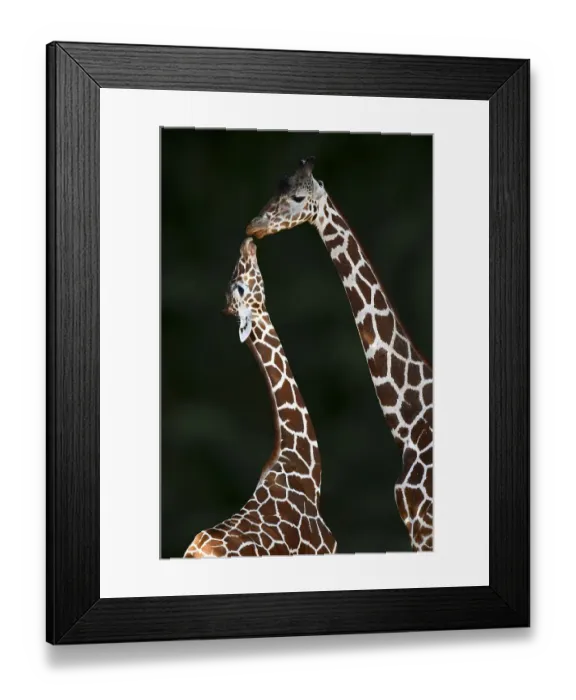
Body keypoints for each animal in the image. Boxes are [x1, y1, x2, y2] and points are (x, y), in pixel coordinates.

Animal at [246, 157, 433, 552]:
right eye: (276, 187)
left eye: (298, 197)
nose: (253, 224)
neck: (411, 424)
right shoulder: (416, 527)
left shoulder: (425, 525)